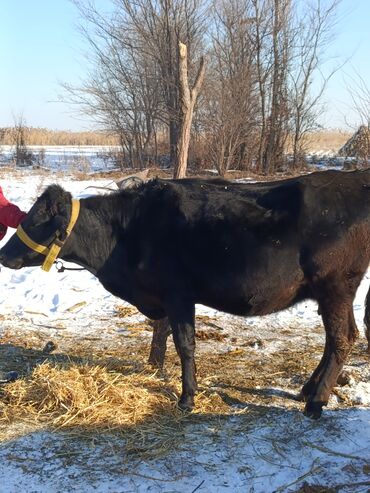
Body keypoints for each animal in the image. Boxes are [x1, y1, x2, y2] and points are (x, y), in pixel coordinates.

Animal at [0, 170, 370, 418]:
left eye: (37, 221)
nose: (4, 254)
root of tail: (354, 179)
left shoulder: (178, 295)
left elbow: (185, 345)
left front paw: (187, 398)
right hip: (331, 292)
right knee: (337, 339)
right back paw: (307, 391)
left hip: (335, 286)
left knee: (343, 338)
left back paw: (315, 403)